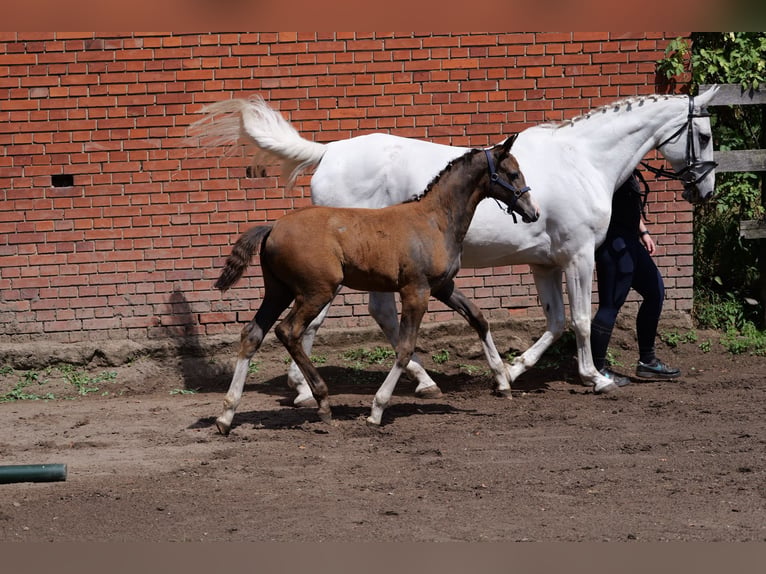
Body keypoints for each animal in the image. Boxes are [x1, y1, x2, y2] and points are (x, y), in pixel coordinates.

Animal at [191, 86, 718, 402]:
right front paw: (596, 378)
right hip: (340, 273)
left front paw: (511, 372)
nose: (706, 189)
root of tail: (329, 152)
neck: (583, 160)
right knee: (321, 321)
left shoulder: (545, 264)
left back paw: (415, 382)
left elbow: (555, 322)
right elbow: (583, 321)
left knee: (370, 318)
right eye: (706, 132)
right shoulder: (578, 256)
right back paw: (307, 388)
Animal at [212, 139, 540, 434]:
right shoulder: (416, 291)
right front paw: (377, 410)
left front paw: (502, 381)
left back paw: (227, 415)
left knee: (252, 334)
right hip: (316, 291)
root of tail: (273, 227)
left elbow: (478, 317)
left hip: (278, 291)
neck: (435, 220)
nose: (533, 211)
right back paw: (322, 401)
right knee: (288, 331)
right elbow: (405, 347)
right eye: (513, 174)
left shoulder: (442, 286)